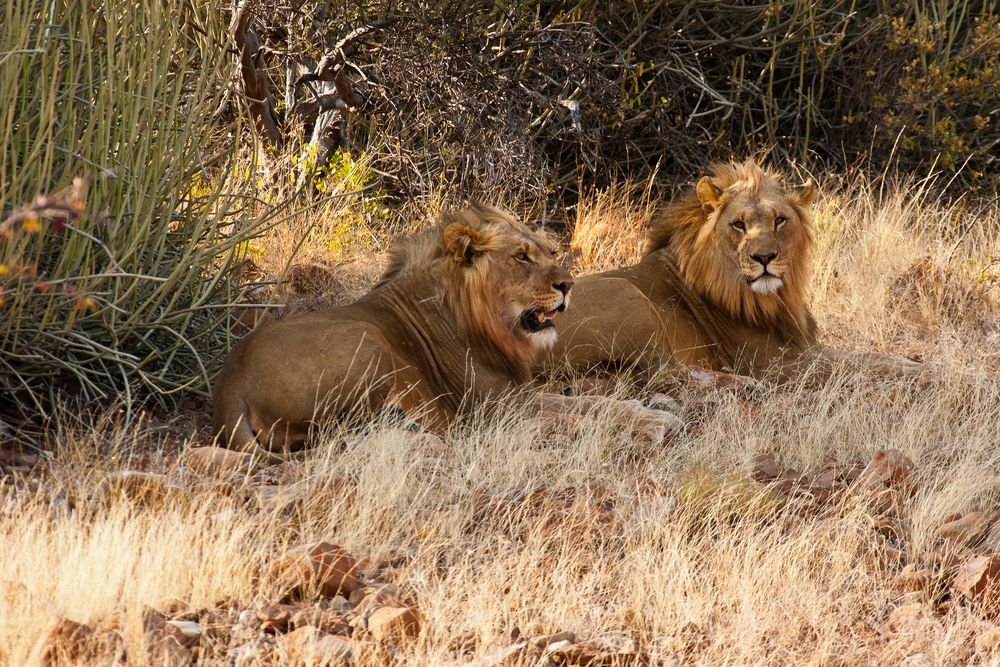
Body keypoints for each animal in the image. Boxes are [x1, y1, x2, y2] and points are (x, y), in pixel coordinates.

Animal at [215, 205, 684, 454]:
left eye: (550, 252)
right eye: (521, 257)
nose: (568, 285)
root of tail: (230, 386)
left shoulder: (518, 393)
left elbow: (597, 402)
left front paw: (655, 414)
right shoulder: (496, 409)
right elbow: (582, 411)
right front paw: (648, 424)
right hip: (368, 342)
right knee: (345, 435)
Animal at [544, 160, 924, 386]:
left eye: (780, 220)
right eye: (738, 224)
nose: (764, 257)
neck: (777, 299)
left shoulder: (803, 347)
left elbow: (869, 357)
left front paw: (919, 366)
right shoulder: (776, 362)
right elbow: (854, 365)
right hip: (630, 298)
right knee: (669, 374)